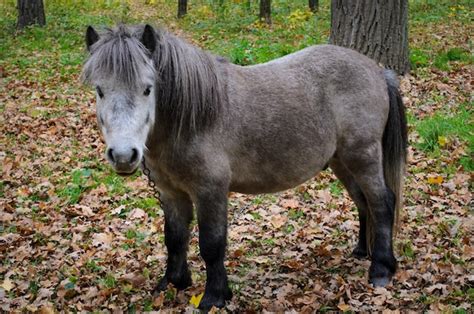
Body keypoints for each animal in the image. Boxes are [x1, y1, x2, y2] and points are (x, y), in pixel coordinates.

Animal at [82, 23, 408, 310]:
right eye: (99, 90)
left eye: (148, 89)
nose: (123, 155)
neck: (192, 118)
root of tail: (378, 71)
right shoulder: (172, 193)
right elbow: (174, 237)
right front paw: (173, 283)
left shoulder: (210, 191)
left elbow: (211, 244)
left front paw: (215, 296)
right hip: (343, 162)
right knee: (363, 202)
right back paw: (363, 251)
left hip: (363, 156)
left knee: (382, 203)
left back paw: (381, 269)